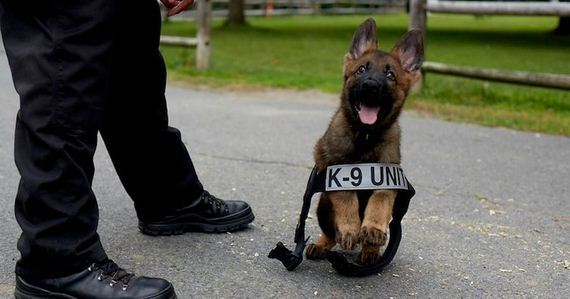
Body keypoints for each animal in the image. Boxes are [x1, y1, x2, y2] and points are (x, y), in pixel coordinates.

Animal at [306, 18, 422, 266]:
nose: (370, 85)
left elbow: (379, 201)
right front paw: (350, 229)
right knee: (331, 233)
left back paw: (370, 249)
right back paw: (322, 244)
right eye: (361, 69)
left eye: (390, 75)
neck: (365, 136)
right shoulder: (335, 170)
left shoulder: (387, 176)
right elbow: (347, 198)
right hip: (323, 206)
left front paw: (373, 229)